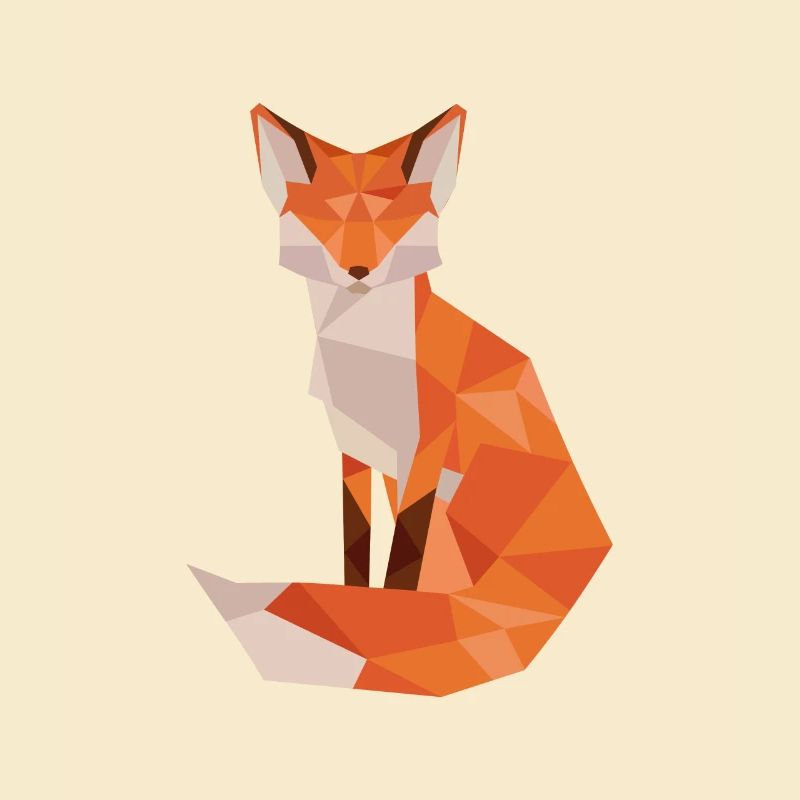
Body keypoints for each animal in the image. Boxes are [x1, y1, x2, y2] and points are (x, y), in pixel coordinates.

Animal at [190, 104, 611, 696]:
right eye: (328, 221)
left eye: (392, 222)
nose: (358, 271)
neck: (365, 357)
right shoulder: (354, 450)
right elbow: (356, 547)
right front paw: (356, 601)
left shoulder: (426, 452)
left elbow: (402, 562)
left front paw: (387, 610)